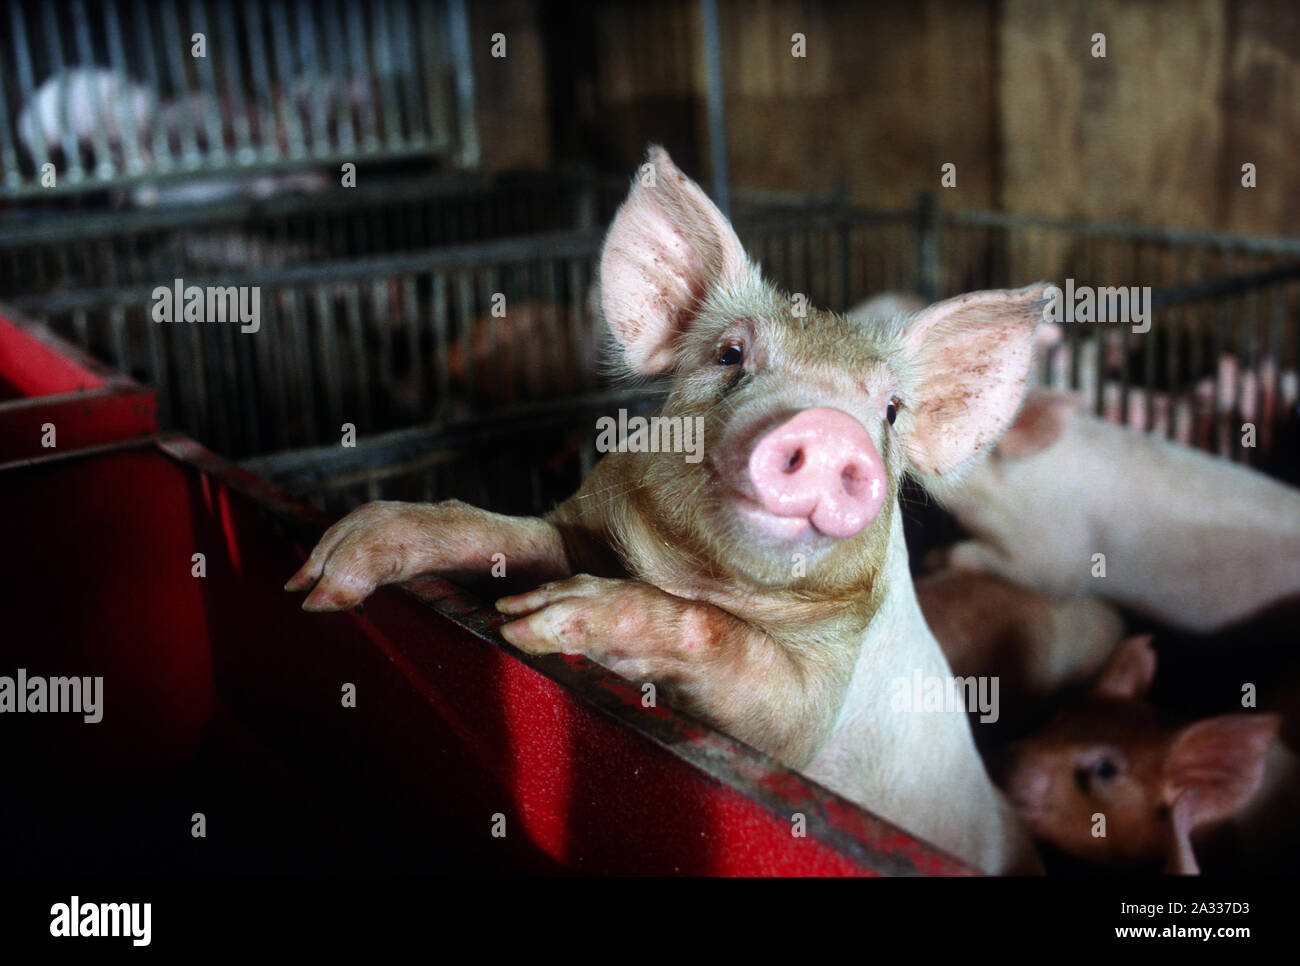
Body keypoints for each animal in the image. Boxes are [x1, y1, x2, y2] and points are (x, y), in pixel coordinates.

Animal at [284, 145, 1045, 878]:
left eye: (889, 411)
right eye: (730, 354)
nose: (829, 427)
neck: (705, 577)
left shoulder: (819, 695)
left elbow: (747, 667)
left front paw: (546, 621)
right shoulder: (584, 529)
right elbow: (516, 537)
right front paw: (324, 576)